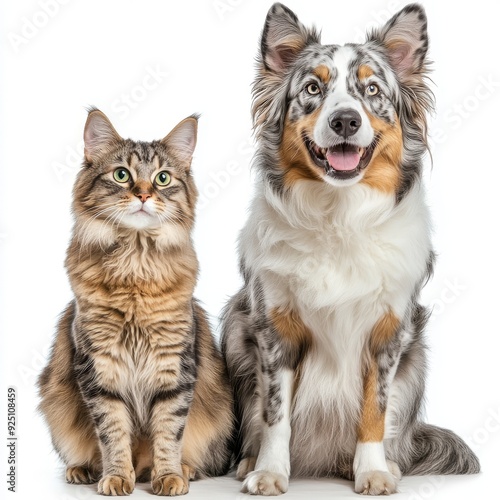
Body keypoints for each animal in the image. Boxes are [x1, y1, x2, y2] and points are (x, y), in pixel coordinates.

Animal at [38, 109, 234, 496]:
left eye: (162, 178)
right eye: (122, 174)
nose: (143, 194)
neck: (135, 268)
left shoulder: (173, 368)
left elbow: (168, 433)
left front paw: (168, 476)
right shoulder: (99, 368)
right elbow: (113, 433)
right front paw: (116, 477)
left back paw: (182, 470)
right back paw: (84, 470)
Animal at [222, 2, 480, 496]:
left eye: (372, 89)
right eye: (312, 88)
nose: (345, 121)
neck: (337, 216)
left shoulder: (389, 333)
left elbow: (374, 411)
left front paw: (373, 471)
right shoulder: (274, 328)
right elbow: (275, 413)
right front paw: (270, 471)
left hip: (417, 359)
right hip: (235, 327)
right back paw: (248, 462)